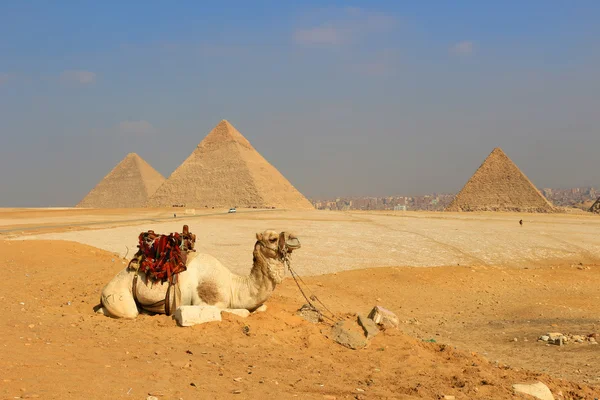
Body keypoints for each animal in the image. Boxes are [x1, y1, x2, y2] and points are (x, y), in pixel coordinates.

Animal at [95, 231, 300, 318]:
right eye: (272, 238)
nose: (295, 239)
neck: (233, 285)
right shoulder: (206, 302)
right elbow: (242, 312)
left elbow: (260, 308)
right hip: (118, 295)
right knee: (128, 312)